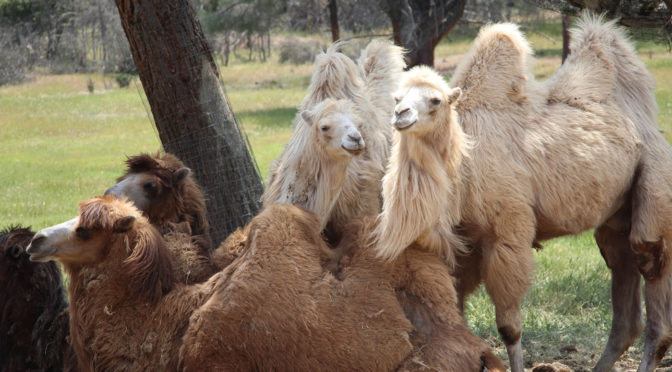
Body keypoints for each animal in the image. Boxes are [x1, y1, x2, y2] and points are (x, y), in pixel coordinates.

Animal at [372, 12, 672, 372]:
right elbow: (456, 315)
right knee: (623, 283)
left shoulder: (507, 233)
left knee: (651, 267)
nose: (401, 115)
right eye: (397, 98)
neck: (464, 161)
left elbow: (509, 327)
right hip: (615, 216)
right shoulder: (462, 245)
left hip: (655, 185)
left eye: (435, 100)